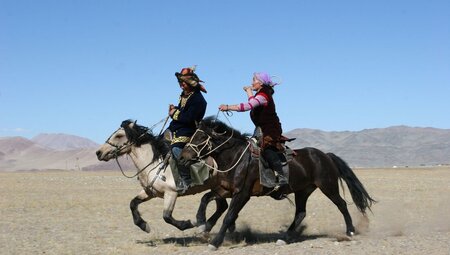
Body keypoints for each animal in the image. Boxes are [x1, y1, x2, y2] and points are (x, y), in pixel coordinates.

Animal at [96, 119, 229, 233]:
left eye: (118, 136)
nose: (98, 152)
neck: (154, 164)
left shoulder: (171, 193)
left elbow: (167, 217)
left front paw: (190, 223)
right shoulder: (150, 192)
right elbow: (133, 203)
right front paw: (143, 225)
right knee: (222, 206)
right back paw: (207, 226)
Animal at [180, 116, 376, 250]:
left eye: (200, 138)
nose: (182, 157)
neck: (236, 157)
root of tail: (325, 156)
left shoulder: (242, 194)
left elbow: (229, 216)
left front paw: (215, 242)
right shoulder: (225, 189)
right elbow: (205, 198)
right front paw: (201, 223)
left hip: (328, 186)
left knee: (341, 204)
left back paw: (350, 230)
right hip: (303, 191)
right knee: (301, 213)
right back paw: (285, 237)